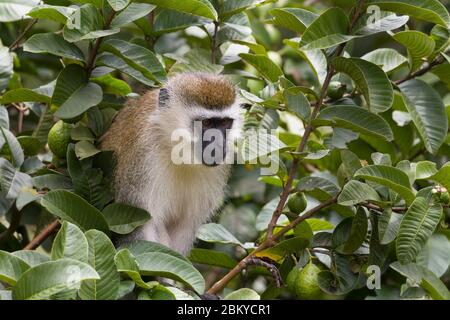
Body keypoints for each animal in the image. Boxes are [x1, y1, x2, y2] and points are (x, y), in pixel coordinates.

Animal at [101, 73, 243, 255]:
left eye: (225, 123)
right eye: (207, 123)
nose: (218, 145)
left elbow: (184, 228)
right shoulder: (143, 160)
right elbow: (141, 231)